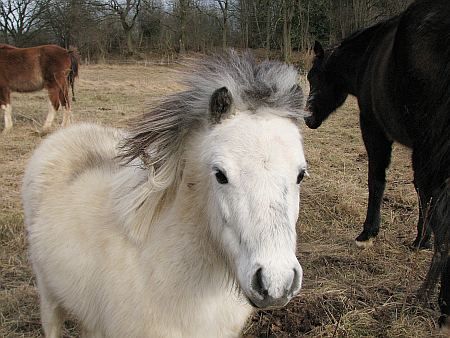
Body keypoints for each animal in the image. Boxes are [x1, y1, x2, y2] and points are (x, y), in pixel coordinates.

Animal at [306, 0, 450, 328]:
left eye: (313, 77)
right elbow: (421, 194)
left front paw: (367, 234)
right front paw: (419, 240)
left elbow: (377, 179)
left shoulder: (374, 129)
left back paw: (432, 301)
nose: (308, 117)